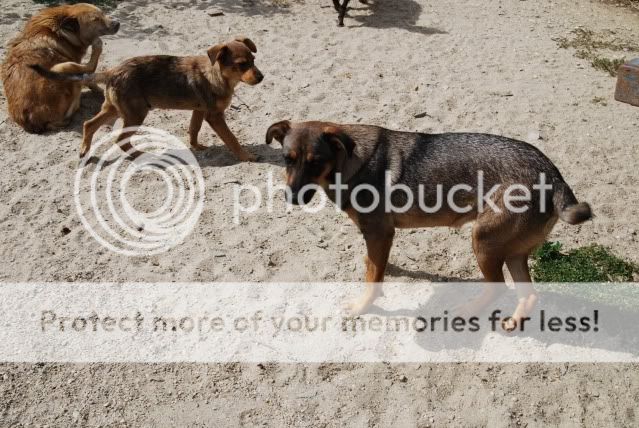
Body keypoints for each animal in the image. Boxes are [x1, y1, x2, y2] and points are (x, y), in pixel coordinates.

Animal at [1, 3, 119, 133]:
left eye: (102, 13)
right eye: (96, 19)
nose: (117, 24)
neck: (60, 32)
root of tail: (31, 120)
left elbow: (89, 80)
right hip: (61, 67)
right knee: (89, 67)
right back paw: (97, 46)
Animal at [28, 36, 264, 160]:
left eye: (253, 60)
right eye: (242, 64)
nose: (261, 77)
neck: (218, 75)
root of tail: (113, 71)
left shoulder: (199, 110)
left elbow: (193, 129)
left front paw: (197, 147)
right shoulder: (214, 116)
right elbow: (231, 139)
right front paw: (247, 157)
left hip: (114, 108)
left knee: (89, 124)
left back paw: (84, 149)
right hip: (135, 113)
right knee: (120, 139)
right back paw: (139, 155)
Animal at [266, 122, 596, 330]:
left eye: (315, 162)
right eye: (287, 159)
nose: (291, 197)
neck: (349, 161)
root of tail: (552, 173)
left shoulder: (380, 233)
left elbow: (373, 280)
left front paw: (362, 307)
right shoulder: (378, 238)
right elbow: (374, 264)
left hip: (484, 241)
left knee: (499, 287)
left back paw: (468, 312)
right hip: (512, 251)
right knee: (528, 294)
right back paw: (514, 323)